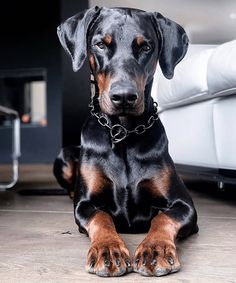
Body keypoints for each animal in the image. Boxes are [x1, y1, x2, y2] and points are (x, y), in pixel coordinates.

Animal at [54, 6, 199, 278]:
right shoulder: (85, 206)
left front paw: (155, 249)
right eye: (100, 44)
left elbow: (162, 218)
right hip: (65, 155)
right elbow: (101, 218)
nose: (123, 96)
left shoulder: (185, 206)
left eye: (146, 47)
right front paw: (107, 250)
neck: (122, 131)